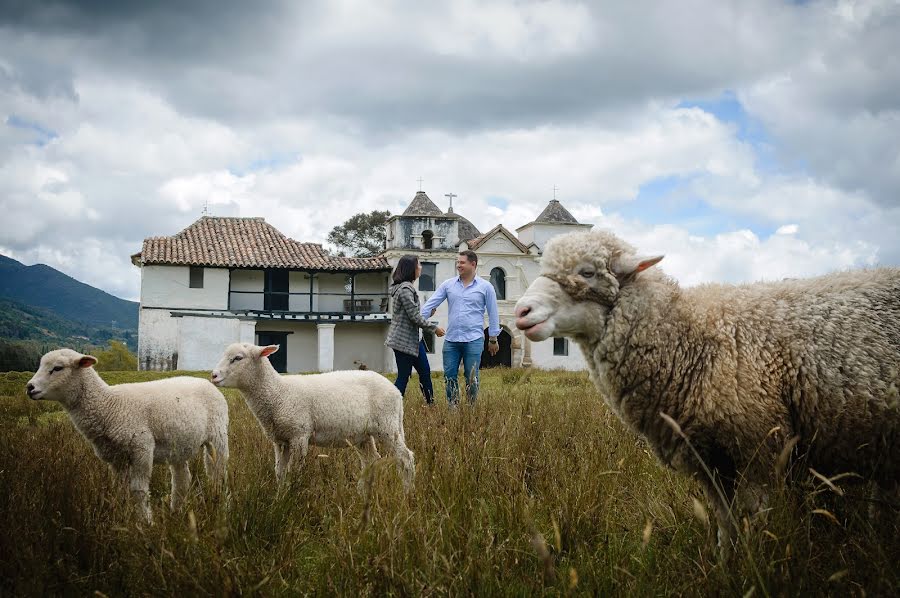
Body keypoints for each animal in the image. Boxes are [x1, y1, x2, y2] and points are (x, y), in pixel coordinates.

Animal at [25, 350, 229, 524]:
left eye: (58, 368)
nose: (29, 387)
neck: (108, 406)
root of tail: (206, 382)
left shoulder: (142, 448)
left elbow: (138, 490)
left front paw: (145, 523)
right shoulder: (116, 458)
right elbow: (120, 491)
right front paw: (123, 519)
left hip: (217, 436)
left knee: (218, 471)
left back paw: (221, 503)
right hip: (179, 445)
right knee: (182, 479)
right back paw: (176, 512)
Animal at [213, 344, 416, 494]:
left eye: (237, 358)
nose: (214, 375)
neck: (278, 392)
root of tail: (395, 391)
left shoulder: (299, 435)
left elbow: (294, 470)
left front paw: (292, 496)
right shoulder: (280, 440)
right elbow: (279, 472)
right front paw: (279, 497)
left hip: (387, 426)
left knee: (405, 457)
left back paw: (406, 493)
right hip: (363, 435)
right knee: (371, 460)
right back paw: (362, 493)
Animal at [512, 232, 900, 552]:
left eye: (588, 272)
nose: (520, 311)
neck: (689, 337)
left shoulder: (757, 451)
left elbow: (754, 527)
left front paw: (756, 569)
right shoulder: (712, 462)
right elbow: (725, 528)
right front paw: (728, 569)